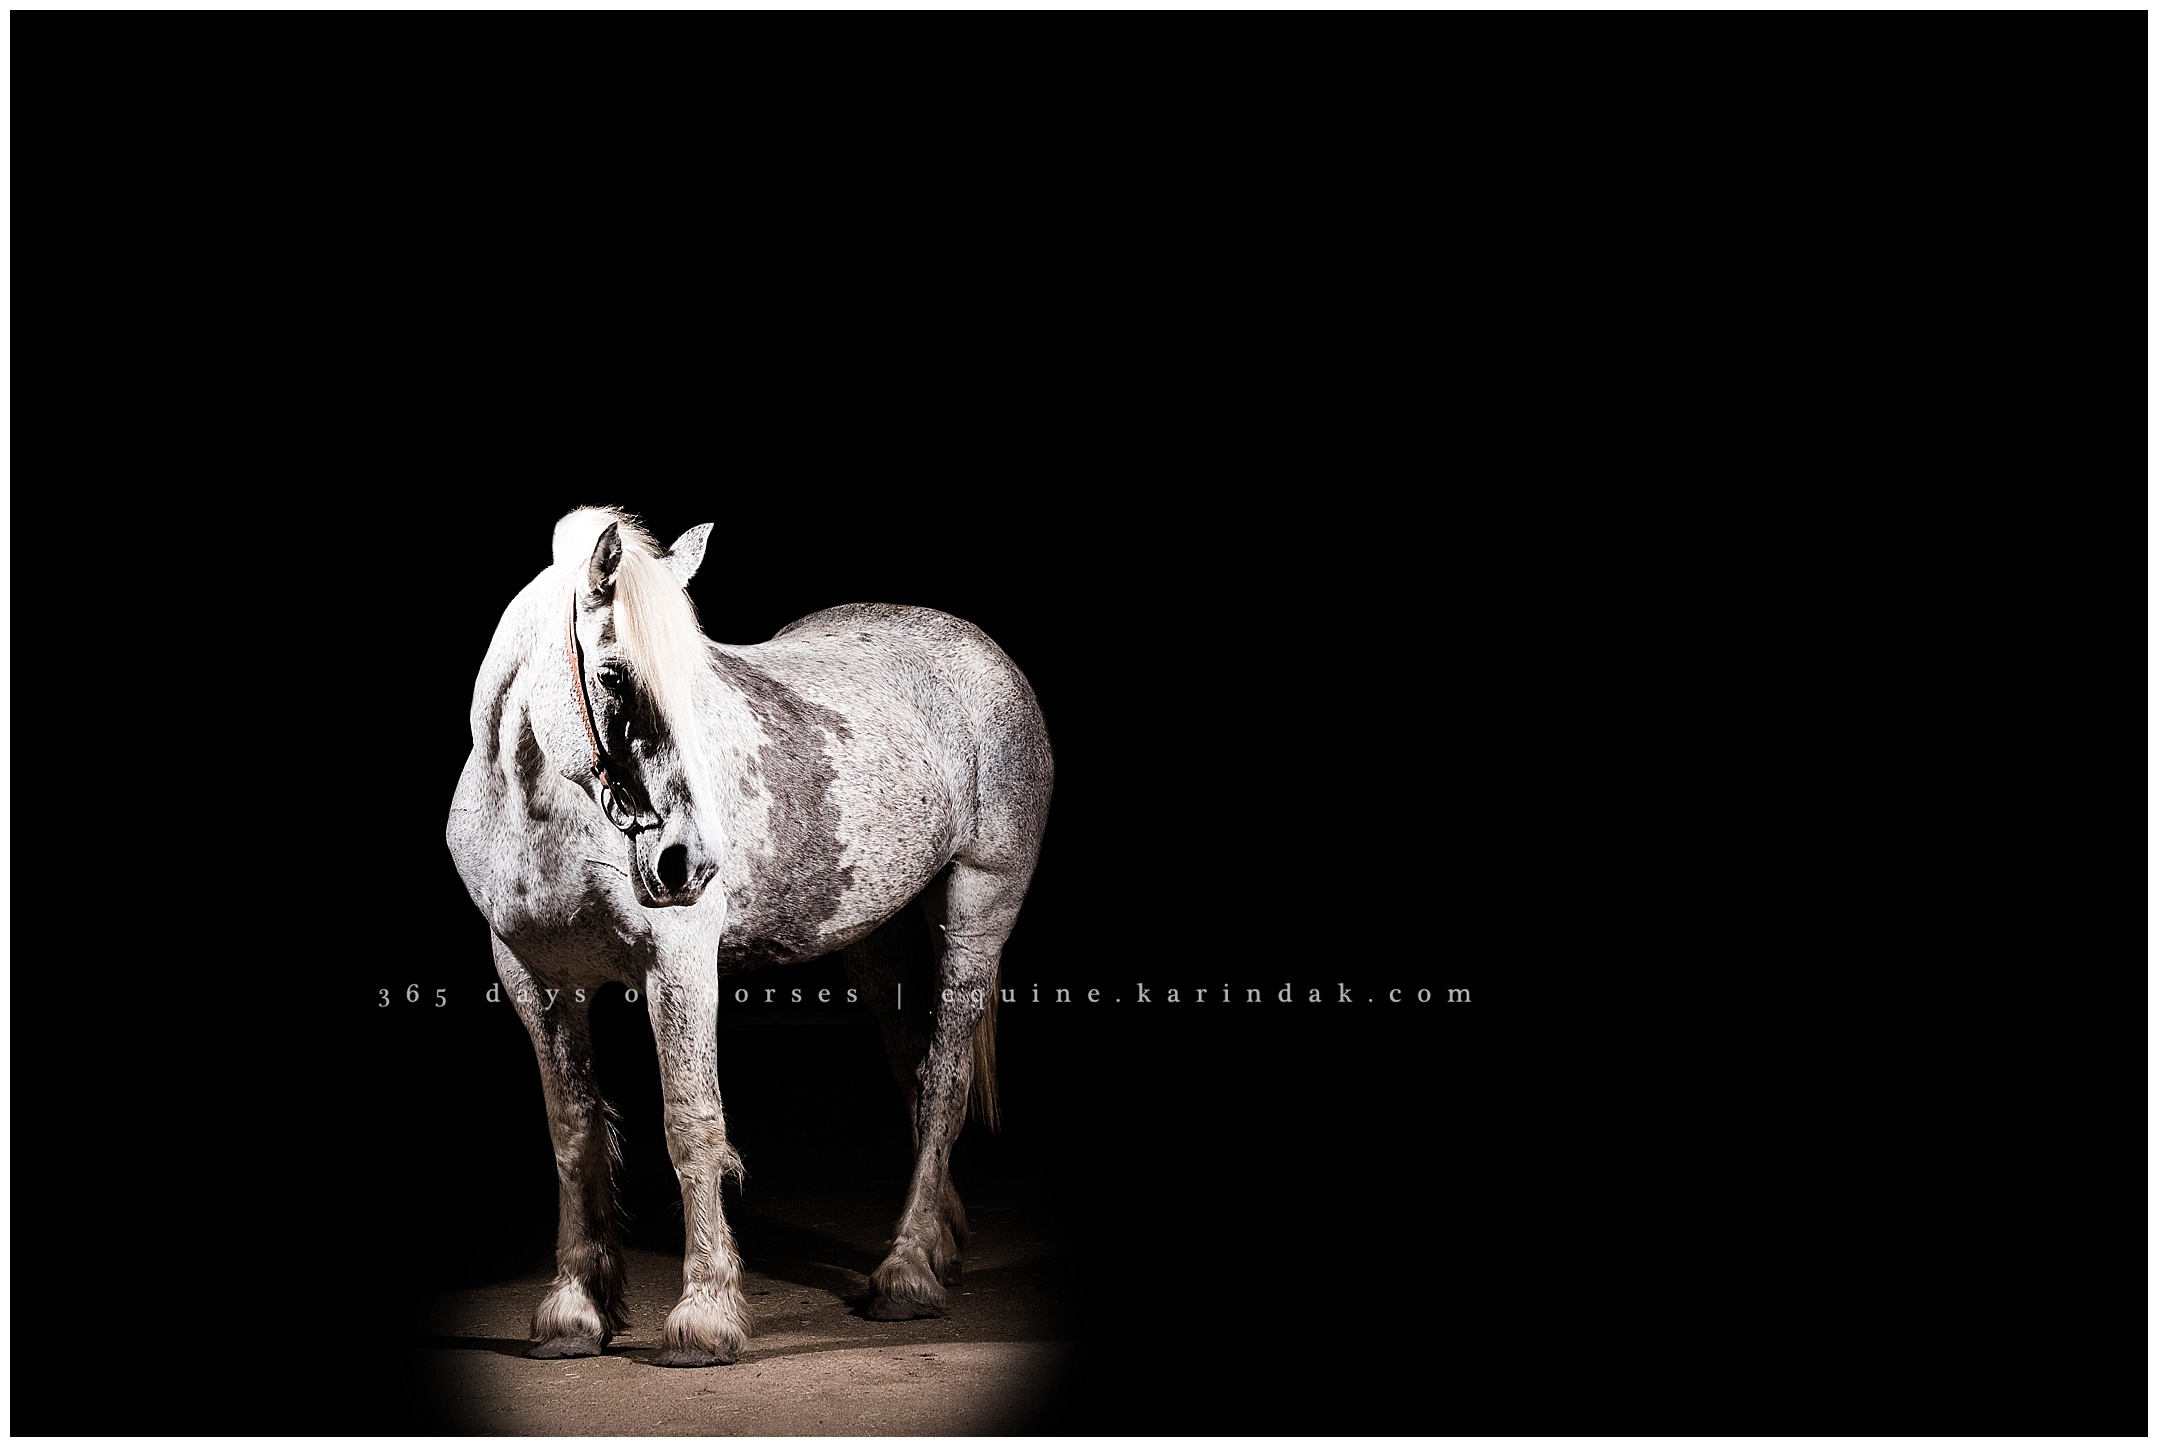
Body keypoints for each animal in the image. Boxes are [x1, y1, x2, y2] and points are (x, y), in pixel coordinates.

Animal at [445, 506, 1053, 1366]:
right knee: (913, 1063)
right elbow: (573, 1131)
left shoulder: (678, 967)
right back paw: (936, 1242)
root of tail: (977, 648)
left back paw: (905, 1273)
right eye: (613, 676)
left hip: (978, 908)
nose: (688, 860)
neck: (541, 813)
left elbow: (691, 1126)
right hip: (880, 937)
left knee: (944, 1078)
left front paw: (703, 1315)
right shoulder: (536, 979)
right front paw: (573, 1311)